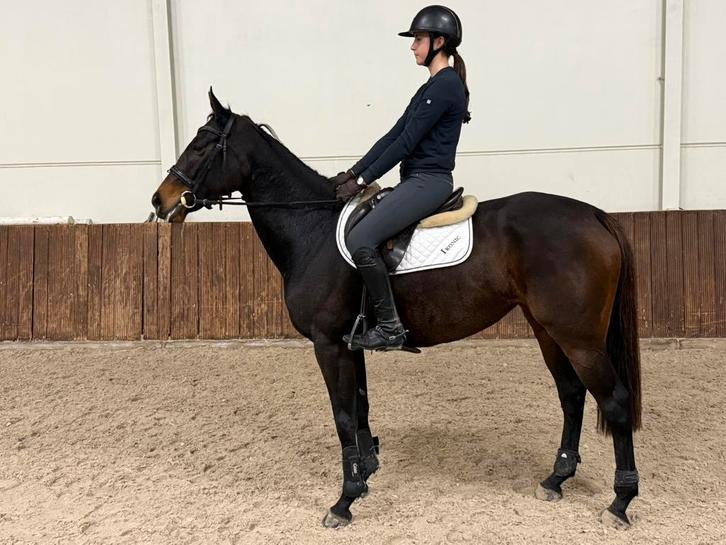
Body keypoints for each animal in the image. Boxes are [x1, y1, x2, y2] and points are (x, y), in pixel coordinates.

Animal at [151, 89, 642, 529]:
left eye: (201, 143)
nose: (160, 200)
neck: (312, 230)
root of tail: (594, 214)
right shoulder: (351, 344)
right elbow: (361, 407)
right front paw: (366, 472)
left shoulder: (328, 345)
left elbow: (342, 415)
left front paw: (344, 500)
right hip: (547, 330)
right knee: (572, 394)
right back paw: (557, 478)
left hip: (579, 338)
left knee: (614, 402)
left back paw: (620, 502)